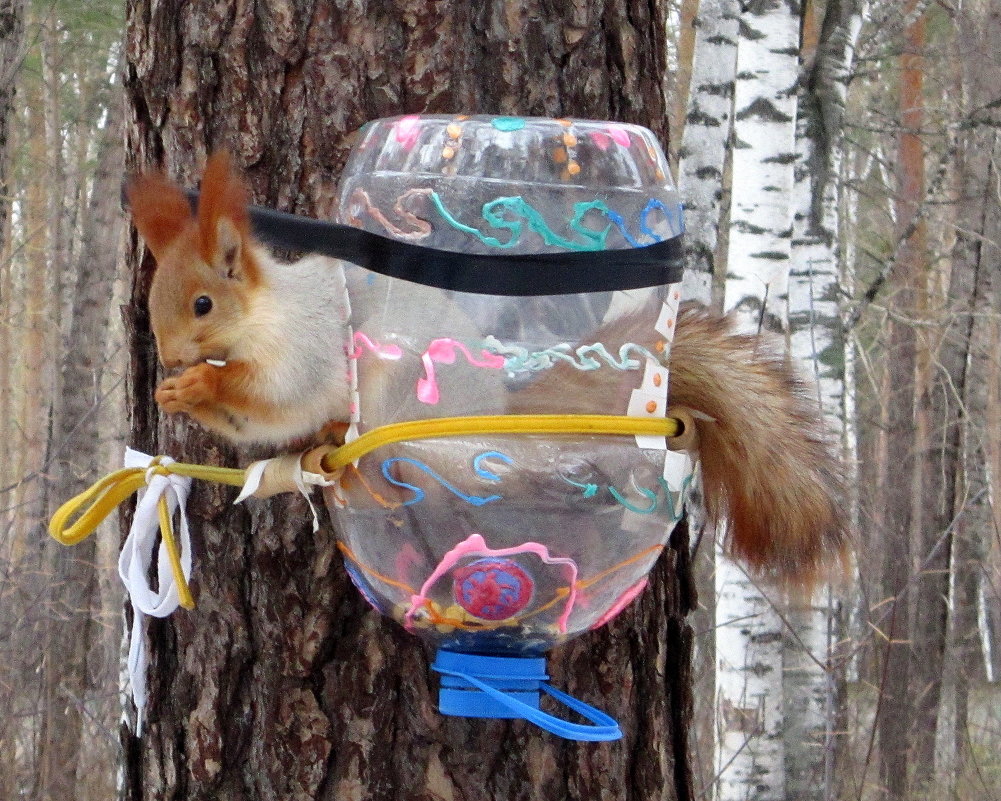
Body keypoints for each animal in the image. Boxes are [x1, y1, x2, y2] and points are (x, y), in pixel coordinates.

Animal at [131, 153, 852, 588]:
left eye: (202, 304)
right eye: (154, 302)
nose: (168, 358)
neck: (263, 317)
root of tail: (498, 407)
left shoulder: (304, 352)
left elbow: (270, 401)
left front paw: (198, 384)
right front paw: (175, 392)